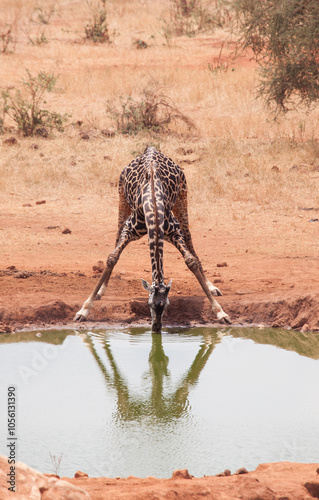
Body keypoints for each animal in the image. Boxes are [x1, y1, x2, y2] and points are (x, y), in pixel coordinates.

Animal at [74, 146, 231, 330]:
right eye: (150, 304)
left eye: (167, 305)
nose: (156, 328)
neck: (154, 208)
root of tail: (151, 148)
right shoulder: (129, 229)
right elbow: (112, 257)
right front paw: (84, 310)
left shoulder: (175, 232)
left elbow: (191, 261)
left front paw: (221, 312)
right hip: (121, 198)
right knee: (116, 237)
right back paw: (101, 290)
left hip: (183, 198)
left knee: (190, 241)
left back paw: (211, 286)